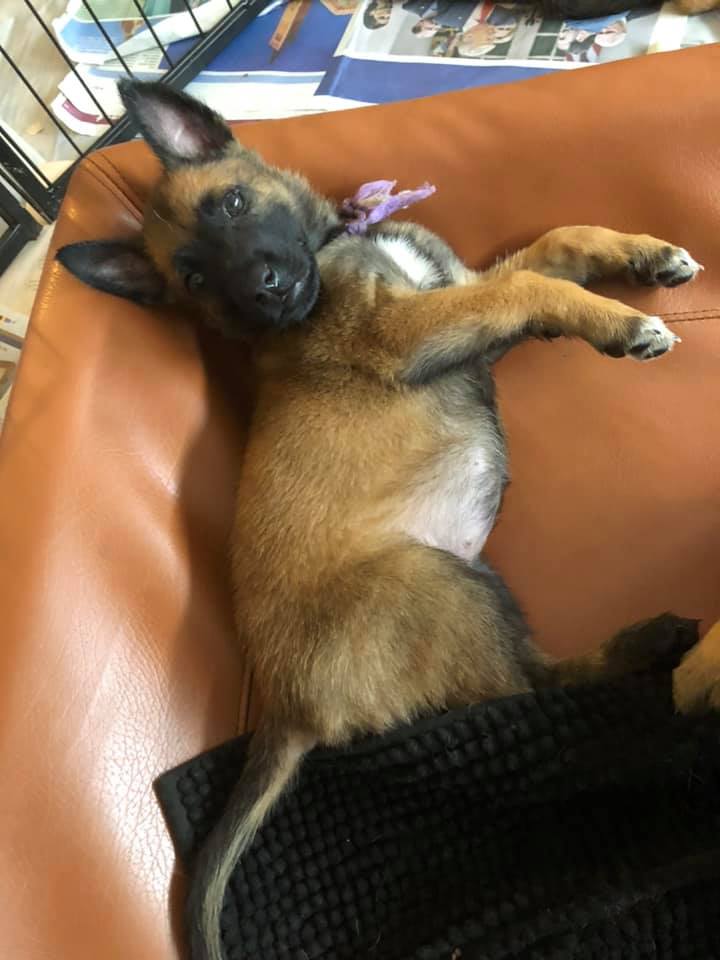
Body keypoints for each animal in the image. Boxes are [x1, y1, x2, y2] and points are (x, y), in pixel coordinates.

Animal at [57, 80, 705, 960]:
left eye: (233, 203)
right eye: (192, 275)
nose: (266, 288)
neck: (335, 248)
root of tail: (288, 708)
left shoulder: (458, 302)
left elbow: (557, 244)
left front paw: (644, 256)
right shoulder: (405, 330)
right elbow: (525, 290)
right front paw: (620, 321)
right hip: (435, 577)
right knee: (527, 690)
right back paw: (653, 645)